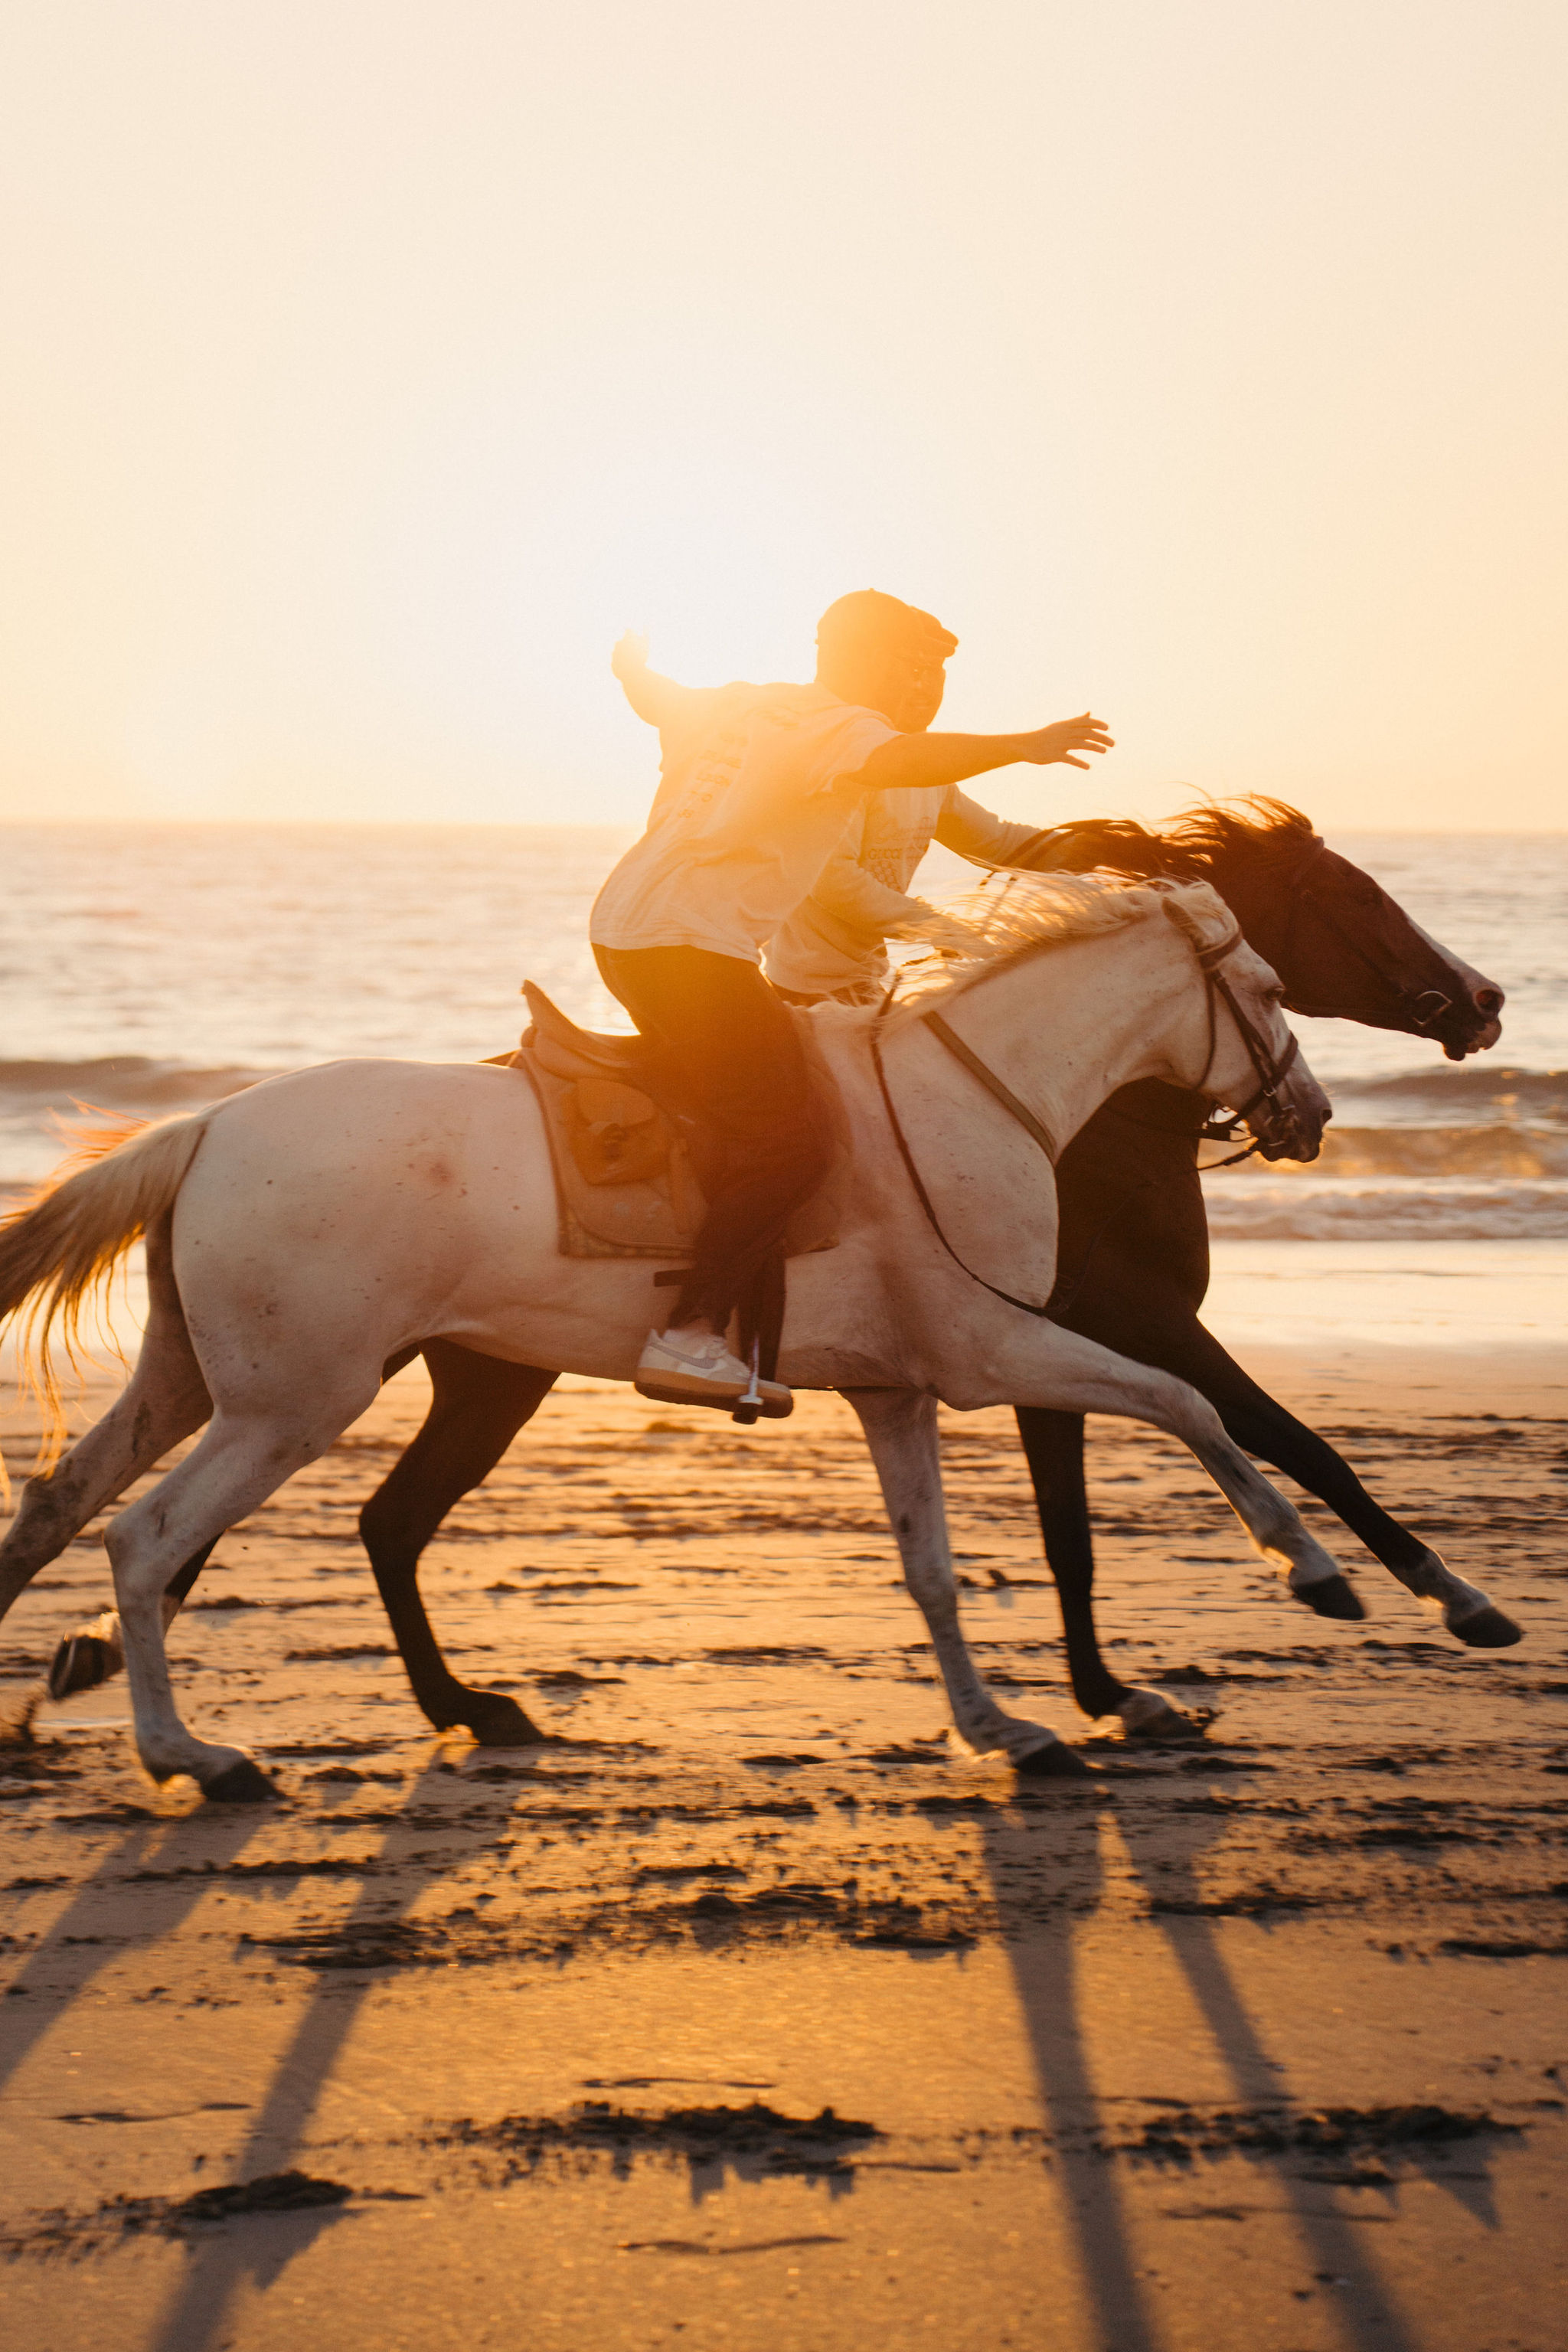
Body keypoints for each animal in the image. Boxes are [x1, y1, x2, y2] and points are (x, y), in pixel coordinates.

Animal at [0, 873, 1332, 1798]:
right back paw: (195, 1756)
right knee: (145, 1539)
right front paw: (1308, 1566)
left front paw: (1002, 1728)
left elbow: (933, 1569)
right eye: (1271, 991)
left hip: (195, 1382)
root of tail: (209, 1126)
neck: (965, 1097)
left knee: (62, 1502)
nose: (1311, 1114)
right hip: (292, 1406)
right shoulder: (991, 1354)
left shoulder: (898, 1391)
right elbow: (1184, 1401)